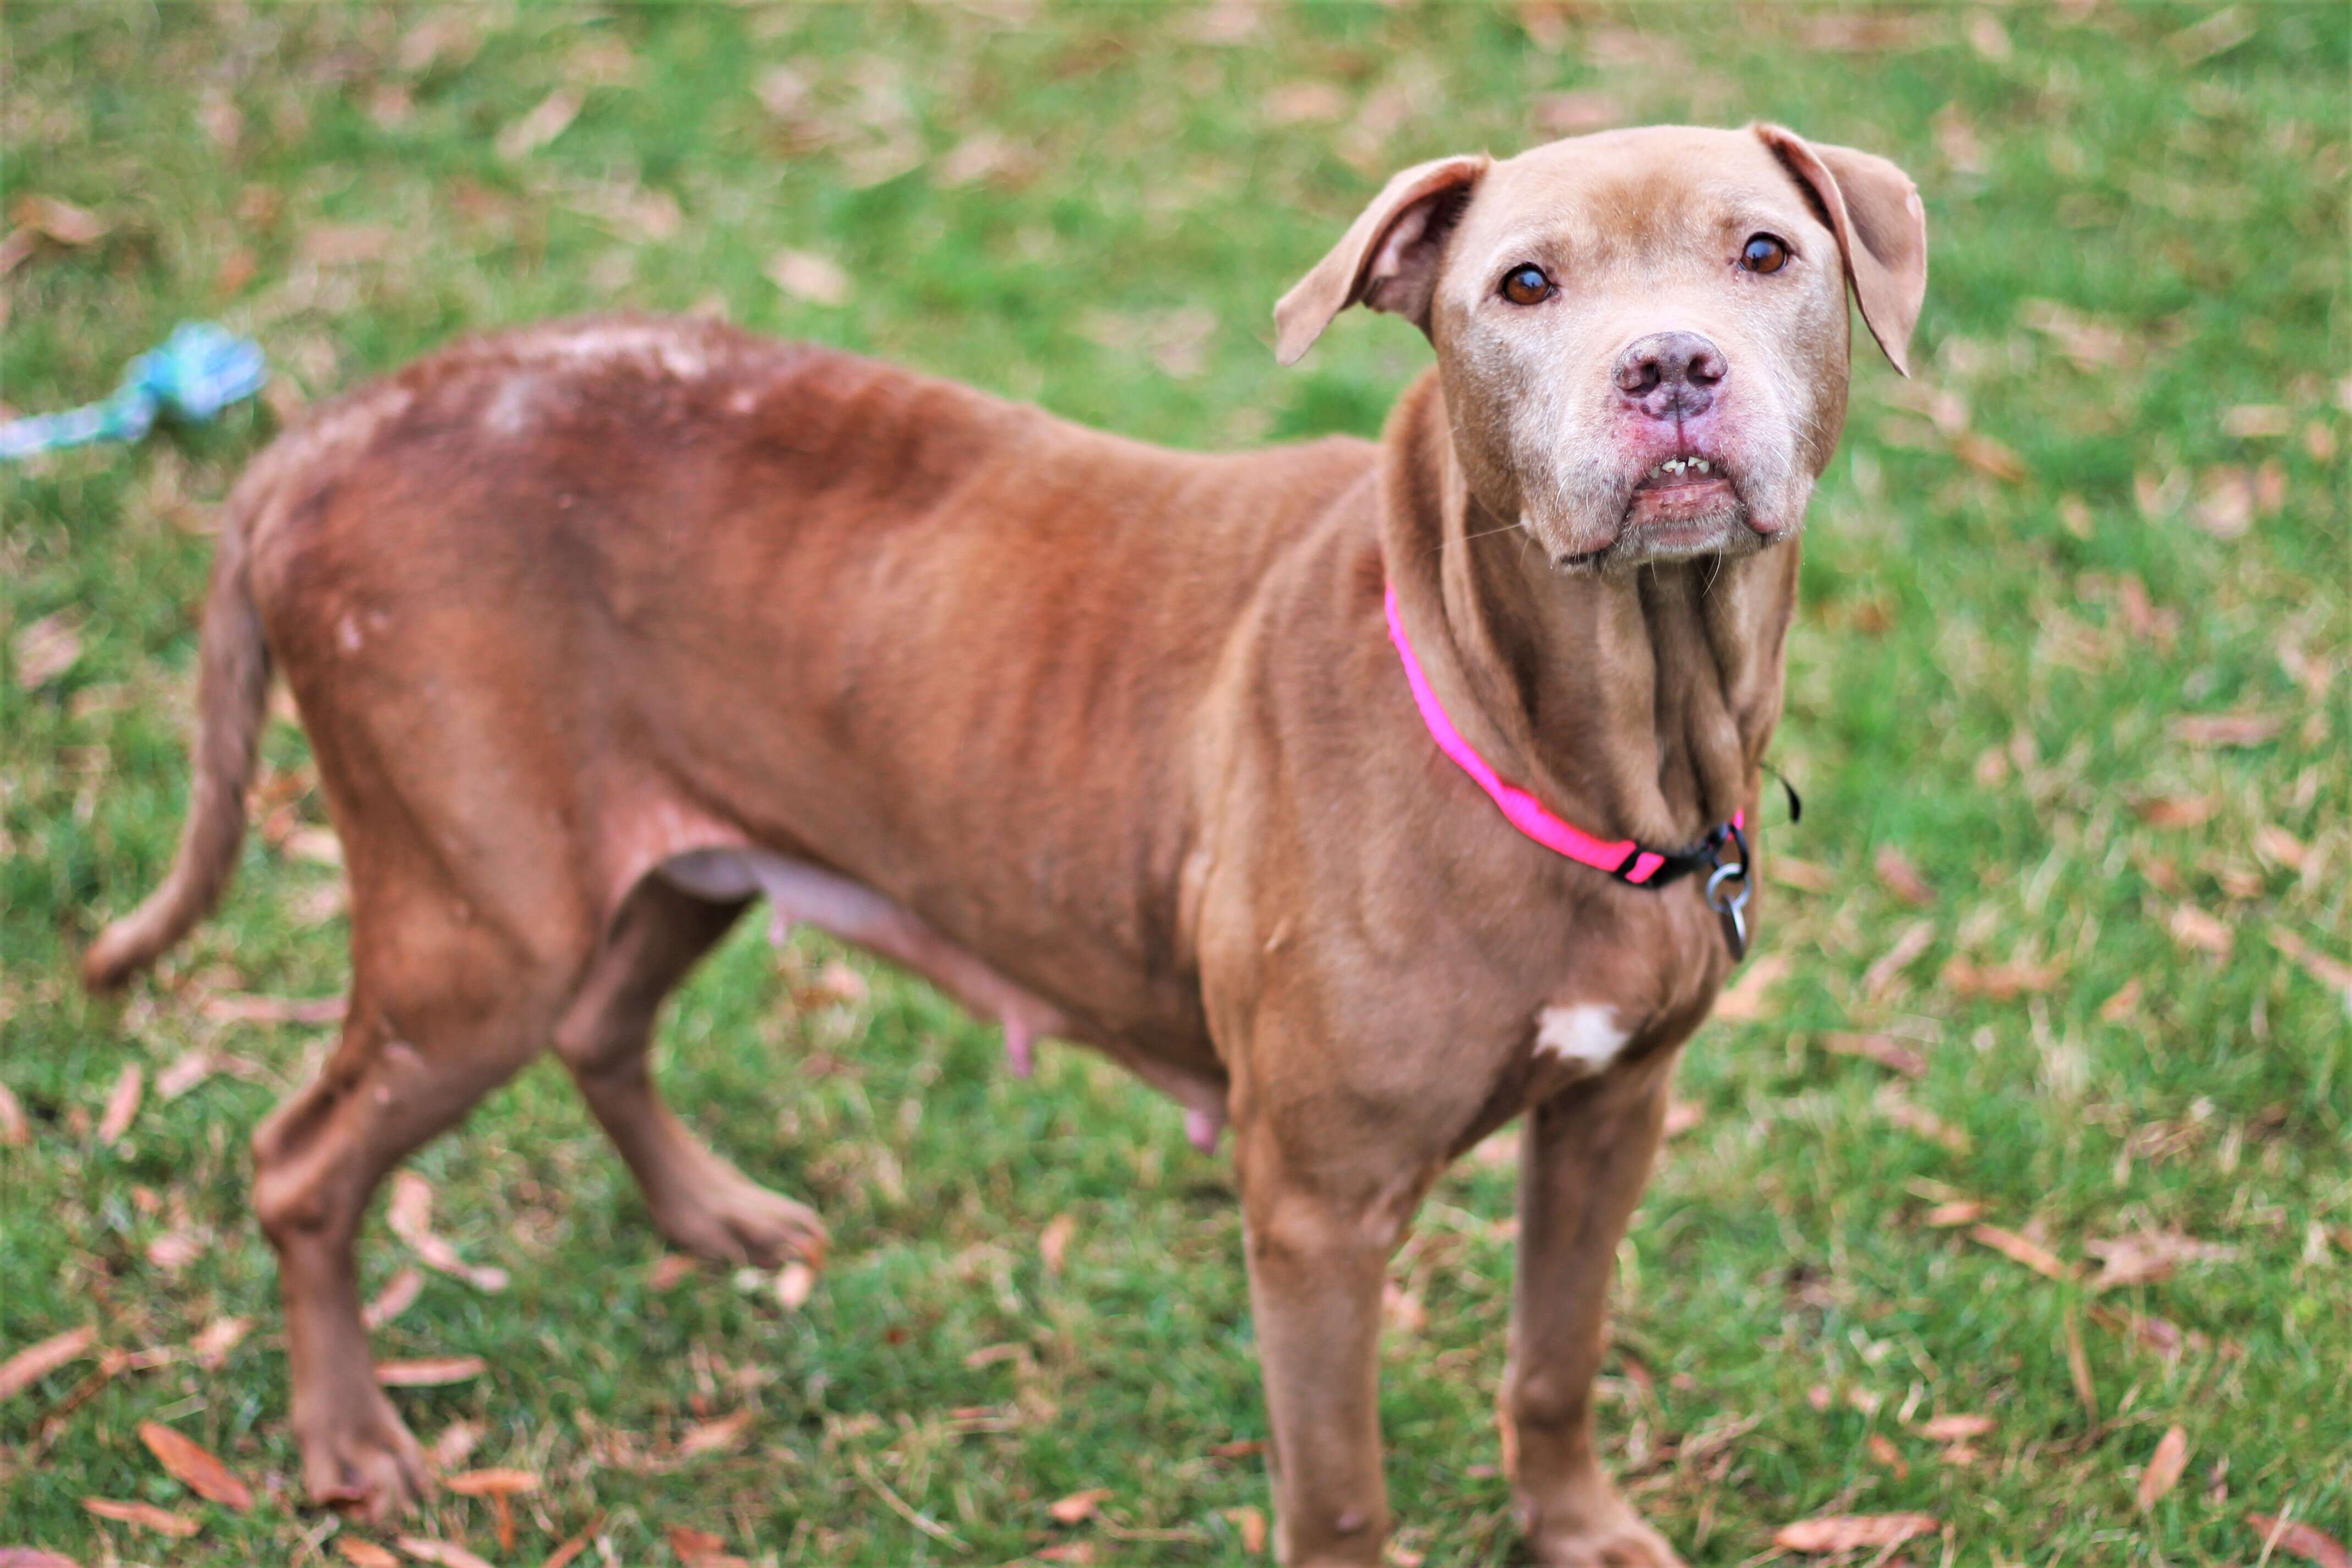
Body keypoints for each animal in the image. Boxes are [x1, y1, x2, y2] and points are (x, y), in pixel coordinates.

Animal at [87, 126, 1929, 1568]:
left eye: (1762, 252)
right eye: (1524, 285)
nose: (1669, 368)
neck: (1575, 732)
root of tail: (319, 438)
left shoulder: (1612, 1112)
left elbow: (1553, 1361)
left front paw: (1573, 1527)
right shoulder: (1315, 1208)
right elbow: (1336, 1492)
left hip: (685, 856)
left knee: (604, 1028)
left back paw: (711, 1218)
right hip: (478, 930)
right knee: (304, 1164)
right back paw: (350, 1446)